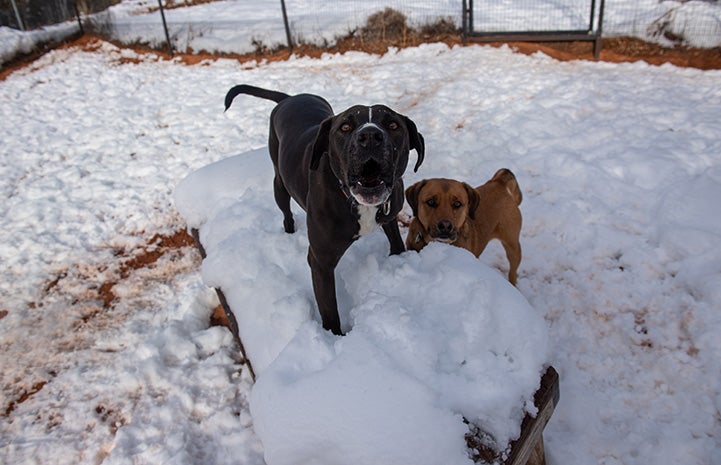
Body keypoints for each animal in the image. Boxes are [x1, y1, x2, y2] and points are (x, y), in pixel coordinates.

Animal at [226, 84, 422, 334]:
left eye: (393, 125)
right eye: (345, 127)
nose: (370, 136)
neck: (357, 202)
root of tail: (290, 98)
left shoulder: (388, 213)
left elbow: (396, 241)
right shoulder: (321, 261)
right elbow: (328, 308)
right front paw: (334, 337)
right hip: (280, 183)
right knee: (285, 211)